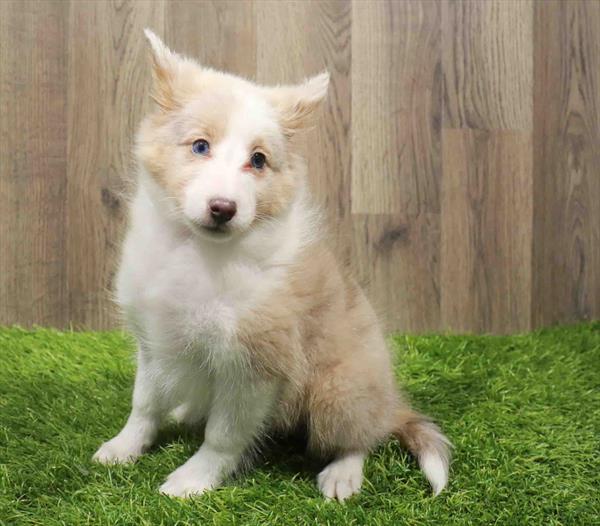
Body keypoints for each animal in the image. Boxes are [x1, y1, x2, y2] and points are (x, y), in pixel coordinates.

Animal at [94, 29, 450, 504]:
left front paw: (192, 479)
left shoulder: (256, 365)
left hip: (339, 390)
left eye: (258, 160)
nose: (223, 208)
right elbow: (144, 404)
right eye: (200, 146)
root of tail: (389, 404)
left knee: (359, 439)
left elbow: (223, 435)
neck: (202, 253)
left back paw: (343, 475)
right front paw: (123, 448)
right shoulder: (153, 340)